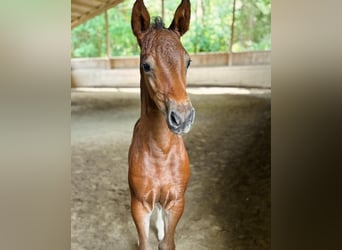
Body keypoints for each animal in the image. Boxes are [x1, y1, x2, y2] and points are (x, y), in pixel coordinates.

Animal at [127, 0, 194, 249]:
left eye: (188, 61)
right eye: (146, 66)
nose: (182, 118)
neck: (161, 151)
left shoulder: (176, 202)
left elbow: (167, 243)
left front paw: (164, 233)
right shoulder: (139, 205)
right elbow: (144, 244)